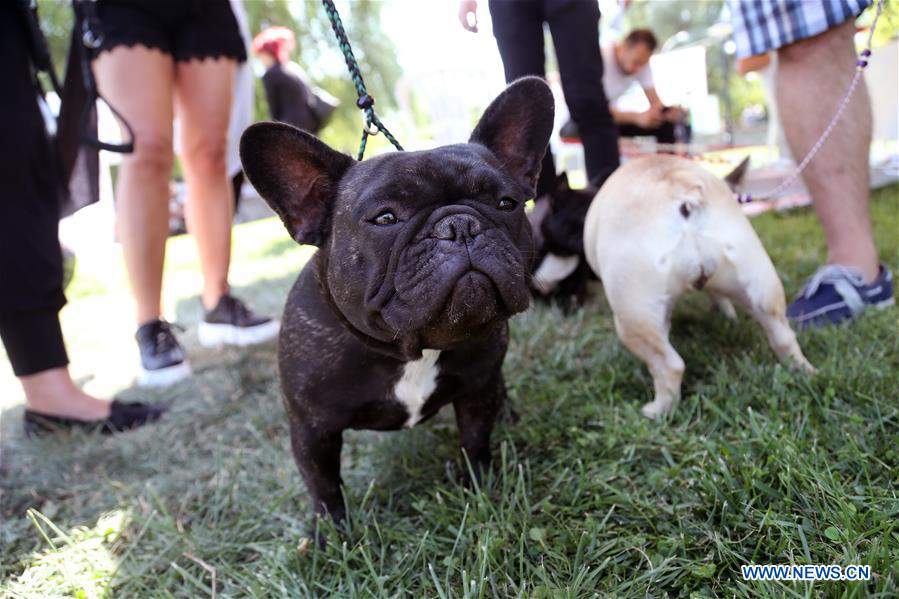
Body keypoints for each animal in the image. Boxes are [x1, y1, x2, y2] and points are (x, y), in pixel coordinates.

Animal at [584, 156, 816, 418]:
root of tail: (683, 196)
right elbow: (719, 298)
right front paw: (727, 315)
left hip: (633, 313)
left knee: (669, 365)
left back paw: (658, 411)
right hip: (760, 284)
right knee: (783, 337)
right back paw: (804, 372)